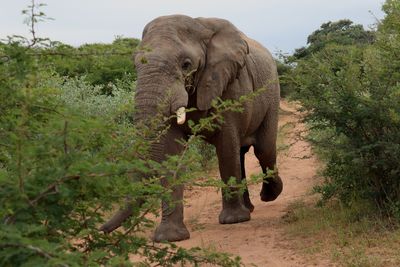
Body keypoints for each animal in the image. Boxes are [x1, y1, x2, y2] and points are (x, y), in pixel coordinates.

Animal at [100, 15, 282, 244]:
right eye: (135, 65)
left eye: (186, 65)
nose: (100, 229)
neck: (200, 27)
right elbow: (170, 153)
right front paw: (170, 238)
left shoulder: (231, 85)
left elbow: (226, 147)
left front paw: (233, 221)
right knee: (242, 153)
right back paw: (250, 207)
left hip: (272, 94)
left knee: (263, 150)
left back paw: (269, 195)